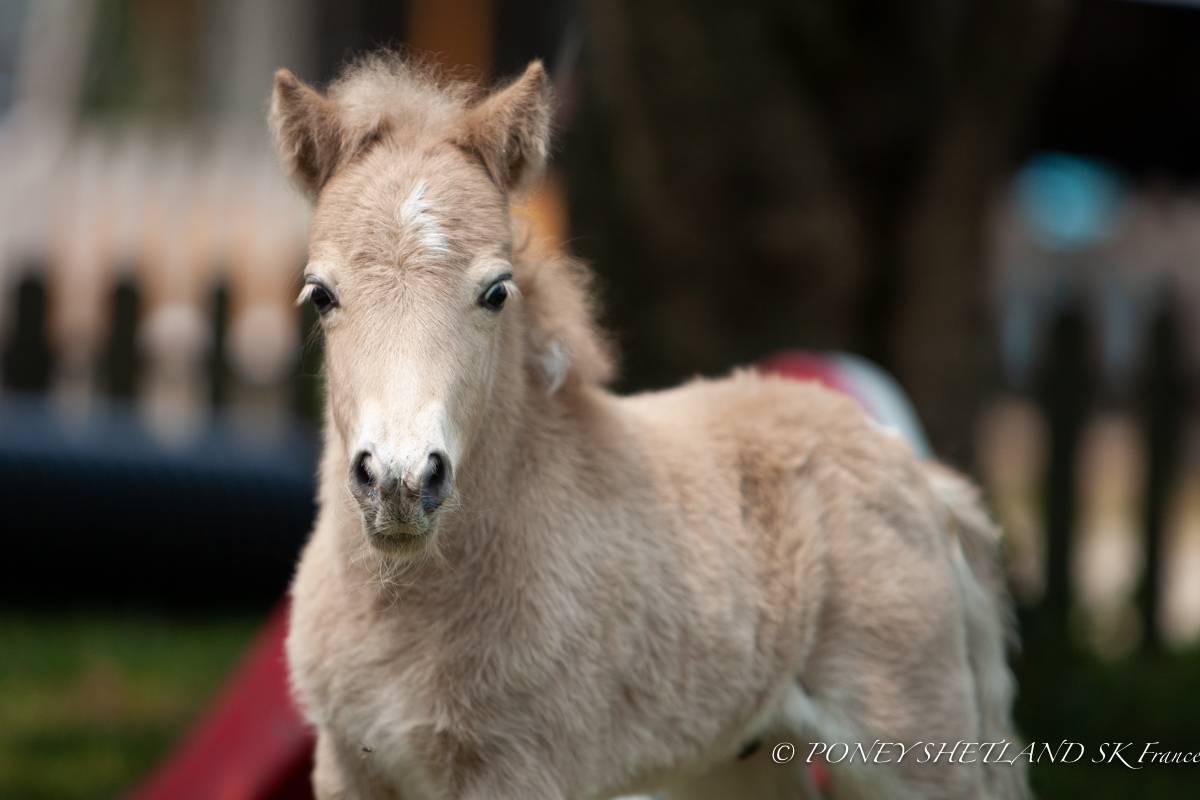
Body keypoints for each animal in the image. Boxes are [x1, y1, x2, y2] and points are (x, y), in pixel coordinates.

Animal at [270, 53, 1028, 800]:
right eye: (320, 294)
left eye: (496, 292)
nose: (400, 482)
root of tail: (916, 472)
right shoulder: (348, 766)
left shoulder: (522, 770)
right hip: (738, 762)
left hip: (913, 752)